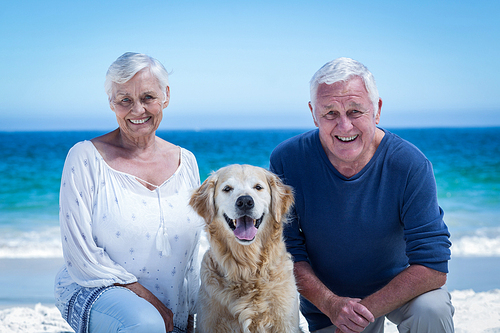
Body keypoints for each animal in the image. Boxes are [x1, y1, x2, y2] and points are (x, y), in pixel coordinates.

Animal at [190, 164, 300, 332]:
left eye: (258, 187)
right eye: (227, 188)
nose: (245, 201)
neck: (247, 269)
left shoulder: (285, 323)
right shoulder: (209, 322)